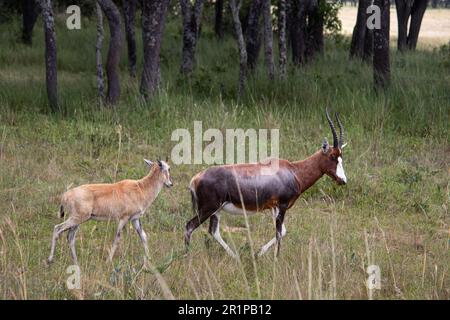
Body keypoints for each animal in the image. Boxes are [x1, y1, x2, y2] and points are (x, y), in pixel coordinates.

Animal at [185, 109, 346, 258]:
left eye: (341, 157)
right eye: (332, 156)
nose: (343, 180)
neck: (293, 170)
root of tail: (196, 178)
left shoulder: (274, 207)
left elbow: (283, 231)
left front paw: (258, 253)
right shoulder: (282, 205)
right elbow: (279, 233)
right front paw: (276, 258)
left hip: (216, 210)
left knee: (214, 231)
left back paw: (236, 257)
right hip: (208, 209)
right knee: (189, 226)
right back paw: (186, 257)